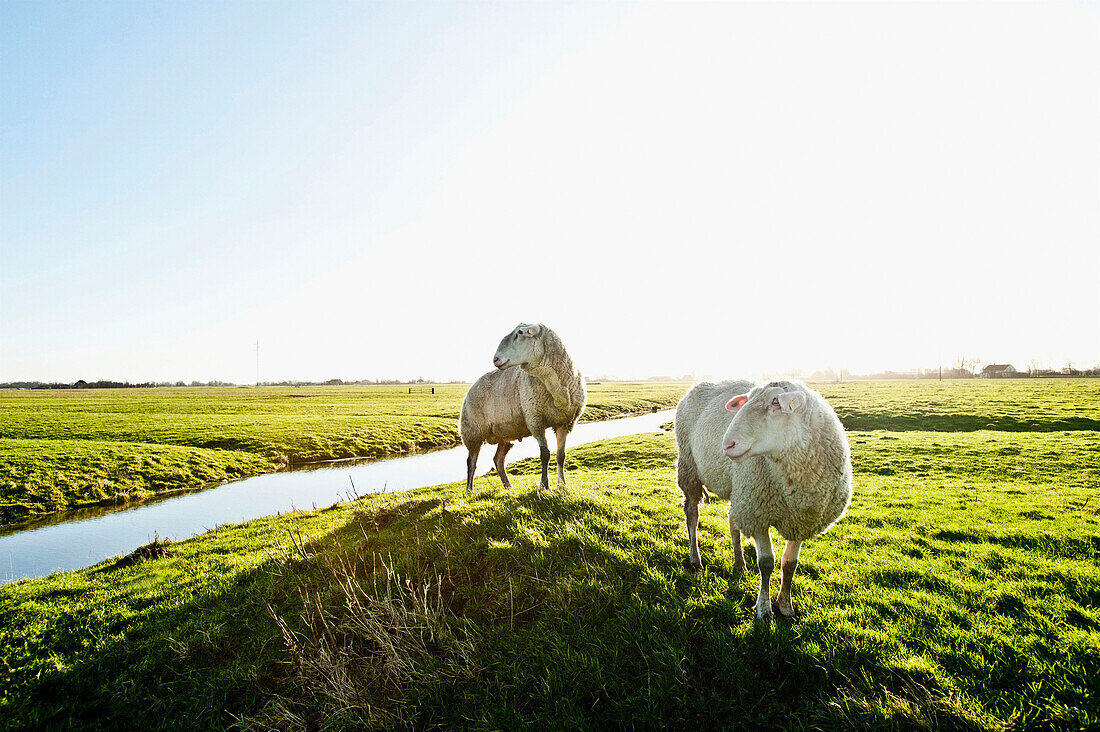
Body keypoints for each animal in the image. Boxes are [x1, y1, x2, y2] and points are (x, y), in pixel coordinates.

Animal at [459, 323, 589, 493]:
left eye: (520, 333)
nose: (495, 359)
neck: (557, 390)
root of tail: (471, 388)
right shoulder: (535, 420)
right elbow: (545, 455)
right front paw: (544, 485)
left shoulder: (565, 423)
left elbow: (561, 455)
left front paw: (562, 485)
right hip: (473, 432)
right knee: (471, 462)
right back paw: (469, 490)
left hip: (505, 433)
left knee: (498, 459)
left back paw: (508, 486)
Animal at [673, 378, 853, 620]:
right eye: (747, 400)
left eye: (776, 402)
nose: (727, 444)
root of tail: (700, 384)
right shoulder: (757, 514)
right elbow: (767, 563)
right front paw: (764, 609)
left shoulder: (801, 520)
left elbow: (790, 564)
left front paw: (785, 606)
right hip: (690, 468)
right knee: (692, 515)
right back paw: (696, 560)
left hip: (739, 487)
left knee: (732, 519)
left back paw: (739, 564)